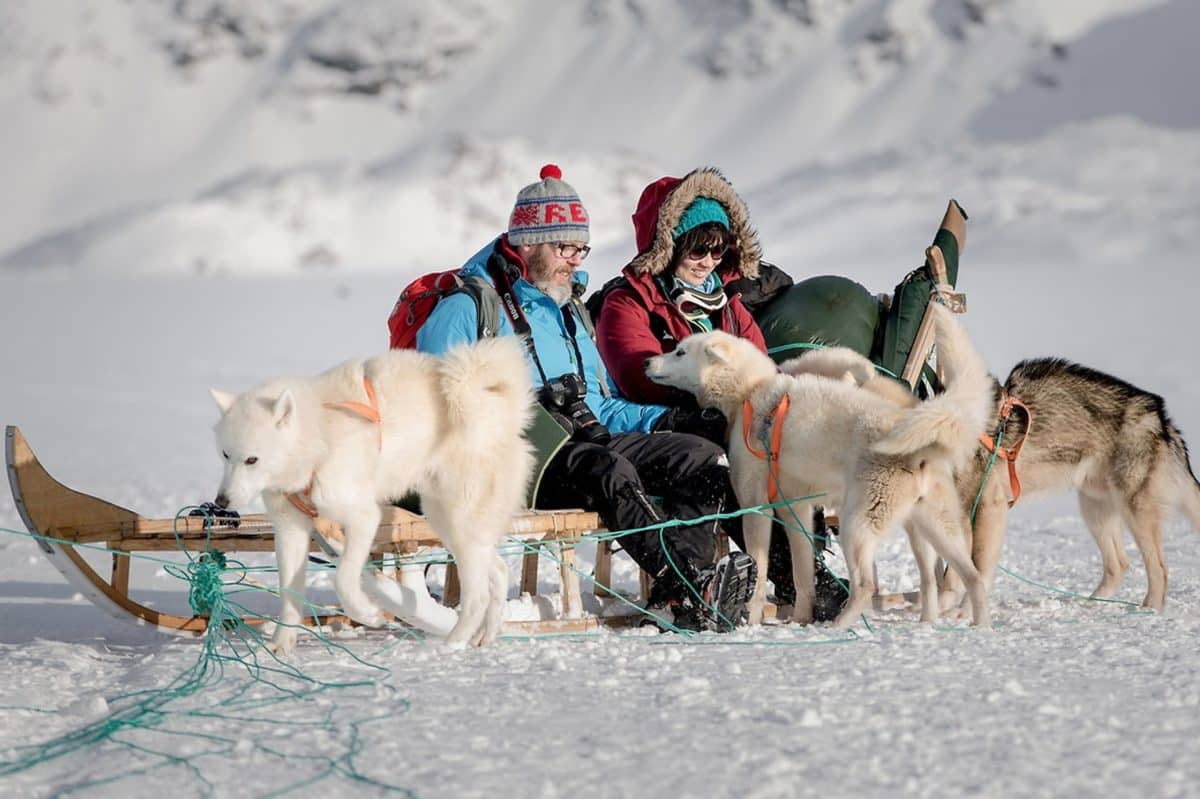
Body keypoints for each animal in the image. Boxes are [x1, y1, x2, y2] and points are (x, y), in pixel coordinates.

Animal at [211, 335, 535, 652]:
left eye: (252, 459)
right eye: (225, 455)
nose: (221, 501)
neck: (319, 436)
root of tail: (497, 407)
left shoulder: (363, 517)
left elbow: (344, 577)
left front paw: (368, 613)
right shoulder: (291, 529)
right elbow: (289, 591)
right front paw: (281, 646)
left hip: (460, 520)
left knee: (478, 594)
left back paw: (453, 643)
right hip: (447, 521)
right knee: (499, 571)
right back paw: (485, 637)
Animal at [648, 302, 993, 623]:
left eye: (679, 351)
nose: (647, 361)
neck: (750, 392)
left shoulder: (756, 507)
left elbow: (760, 572)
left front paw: (753, 620)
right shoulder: (795, 509)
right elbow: (803, 575)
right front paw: (801, 619)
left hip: (858, 526)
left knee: (867, 586)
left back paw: (839, 627)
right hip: (932, 526)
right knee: (970, 577)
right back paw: (971, 626)